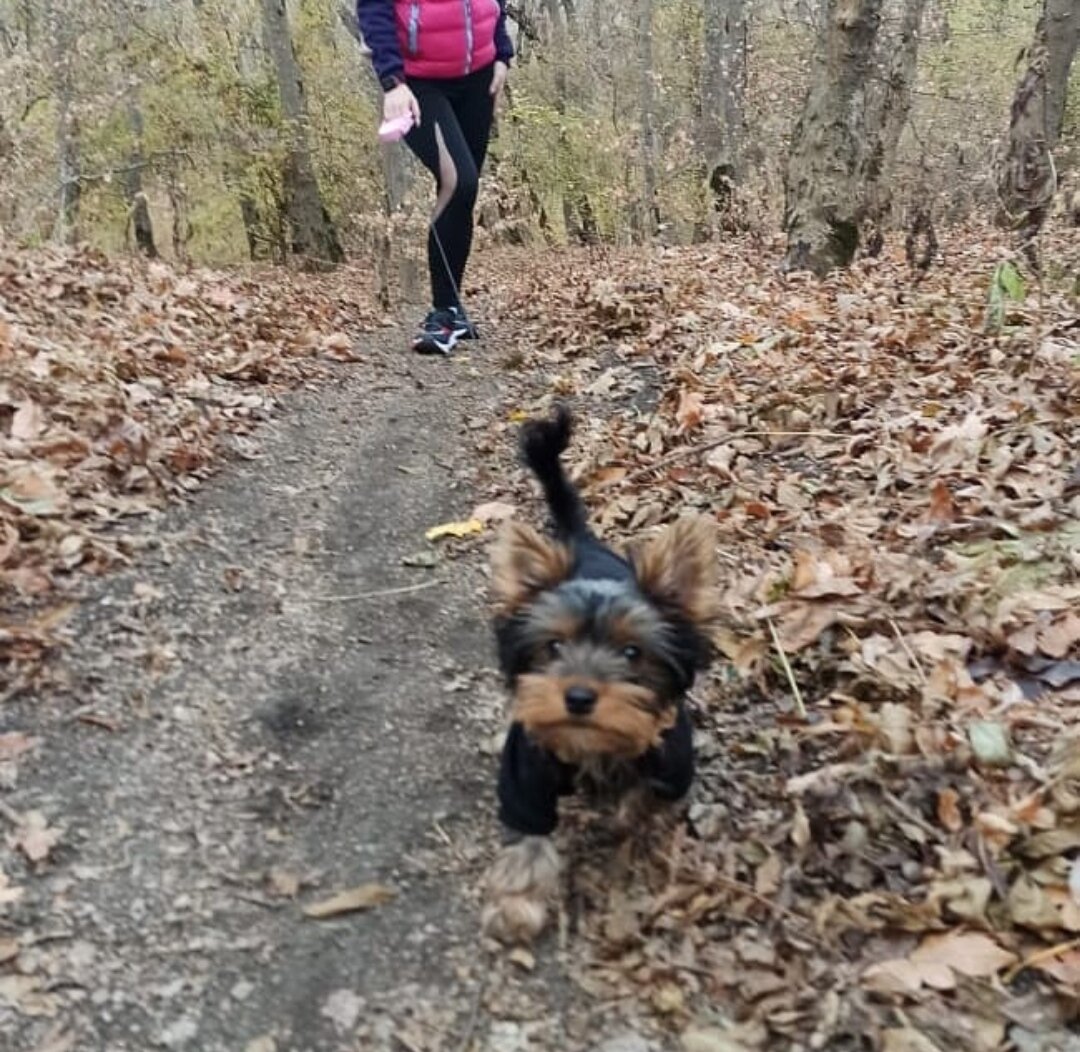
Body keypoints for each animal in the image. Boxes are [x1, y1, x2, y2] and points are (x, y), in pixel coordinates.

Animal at [479, 406, 717, 946]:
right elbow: (528, 838)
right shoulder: (524, 777)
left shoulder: (670, 764)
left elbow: (644, 802)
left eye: (633, 652)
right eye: (554, 647)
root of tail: (581, 541)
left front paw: (628, 827)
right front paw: (518, 904)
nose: (580, 696)